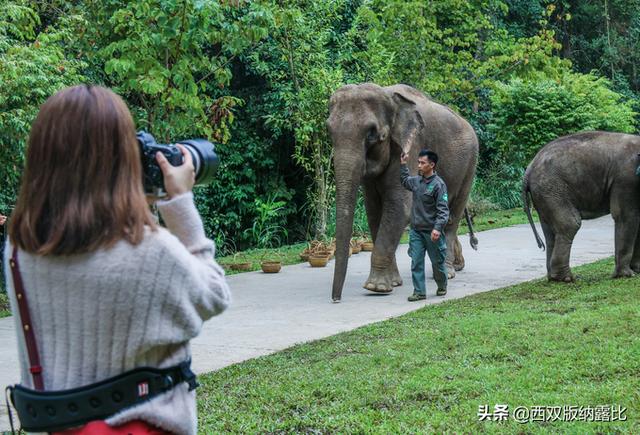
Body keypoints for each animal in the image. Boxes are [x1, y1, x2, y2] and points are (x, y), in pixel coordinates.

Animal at [328, 82, 478, 302]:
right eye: (328, 130)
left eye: (371, 134)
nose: (336, 299)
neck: (390, 97)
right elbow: (374, 211)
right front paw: (392, 283)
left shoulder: (410, 148)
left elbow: (399, 208)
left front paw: (376, 287)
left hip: (470, 164)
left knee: (452, 216)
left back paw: (448, 272)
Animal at [524, 131, 640, 282]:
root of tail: (528, 169)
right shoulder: (626, 178)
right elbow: (626, 216)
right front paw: (627, 275)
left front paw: (637, 271)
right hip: (552, 190)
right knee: (570, 224)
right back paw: (565, 278)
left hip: (544, 194)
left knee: (549, 232)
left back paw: (554, 277)